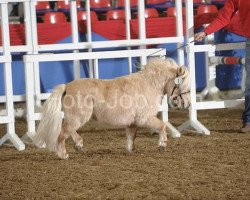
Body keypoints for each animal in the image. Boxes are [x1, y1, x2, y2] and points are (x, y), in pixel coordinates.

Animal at [32, 57, 189, 159]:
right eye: (182, 83)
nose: (187, 104)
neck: (149, 85)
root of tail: (67, 86)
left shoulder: (132, 123)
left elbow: (131, 137)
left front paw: (130, 150)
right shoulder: (144, 118)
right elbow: (162, 126)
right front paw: (162, 144)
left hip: (76, 118)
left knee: (69, 131)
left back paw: (79, 145)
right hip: (78, 118)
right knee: (63, 133)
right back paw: (63, 154)